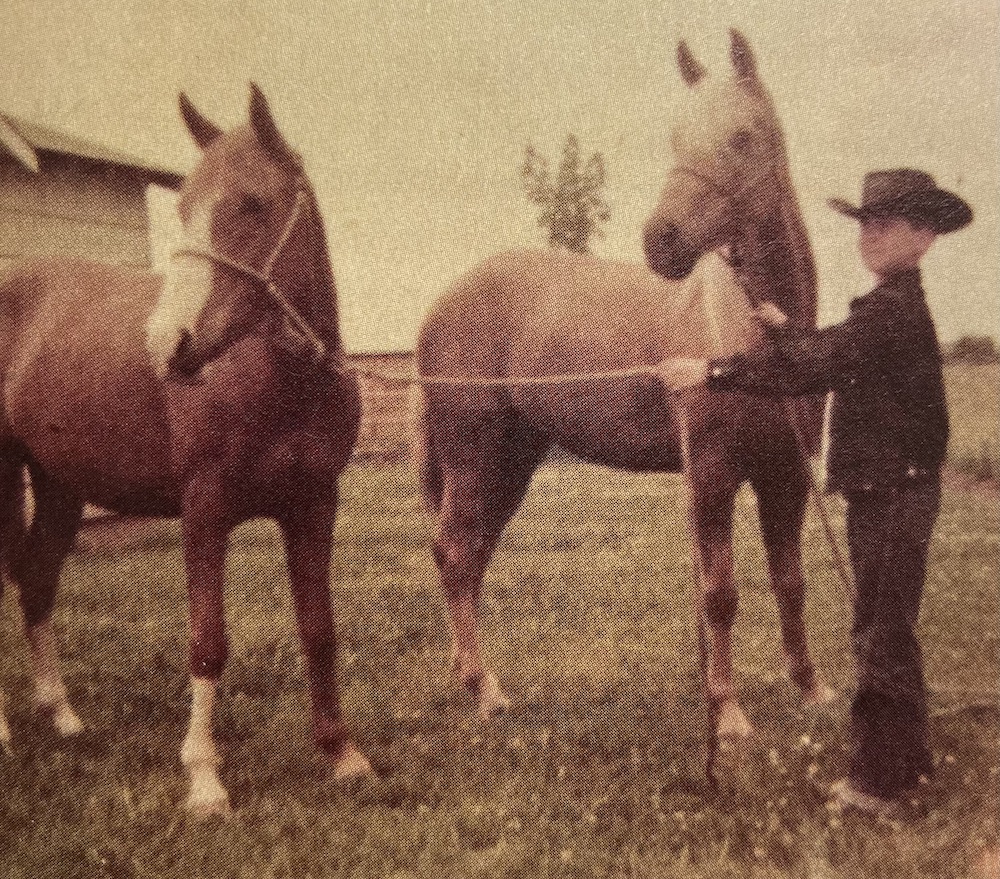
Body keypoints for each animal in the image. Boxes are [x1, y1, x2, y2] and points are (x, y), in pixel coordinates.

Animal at [0, 85, 370, 816]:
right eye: (181, 207)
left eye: (252, 203)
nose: (164, 344)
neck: (279, 379)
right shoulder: (205, 510)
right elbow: (207, 642)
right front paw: (204, 777)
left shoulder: (315, 505)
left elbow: (319, 627)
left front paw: (341, 753)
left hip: (58, 484)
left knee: (36, 577)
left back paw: (63, 714)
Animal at [413, 30, 833, 750]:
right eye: (675, 137)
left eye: (743, 136)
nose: (660, 240)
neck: (760, 332)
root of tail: (444, 302)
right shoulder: (713, 474)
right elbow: (720, 594)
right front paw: (728, 715)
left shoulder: (787, 476)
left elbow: (790, 582)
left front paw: (811, 690)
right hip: (474, 457)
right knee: (457, 553)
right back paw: (486, 690)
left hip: (511, 461)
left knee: (470, 556)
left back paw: (475, 681)